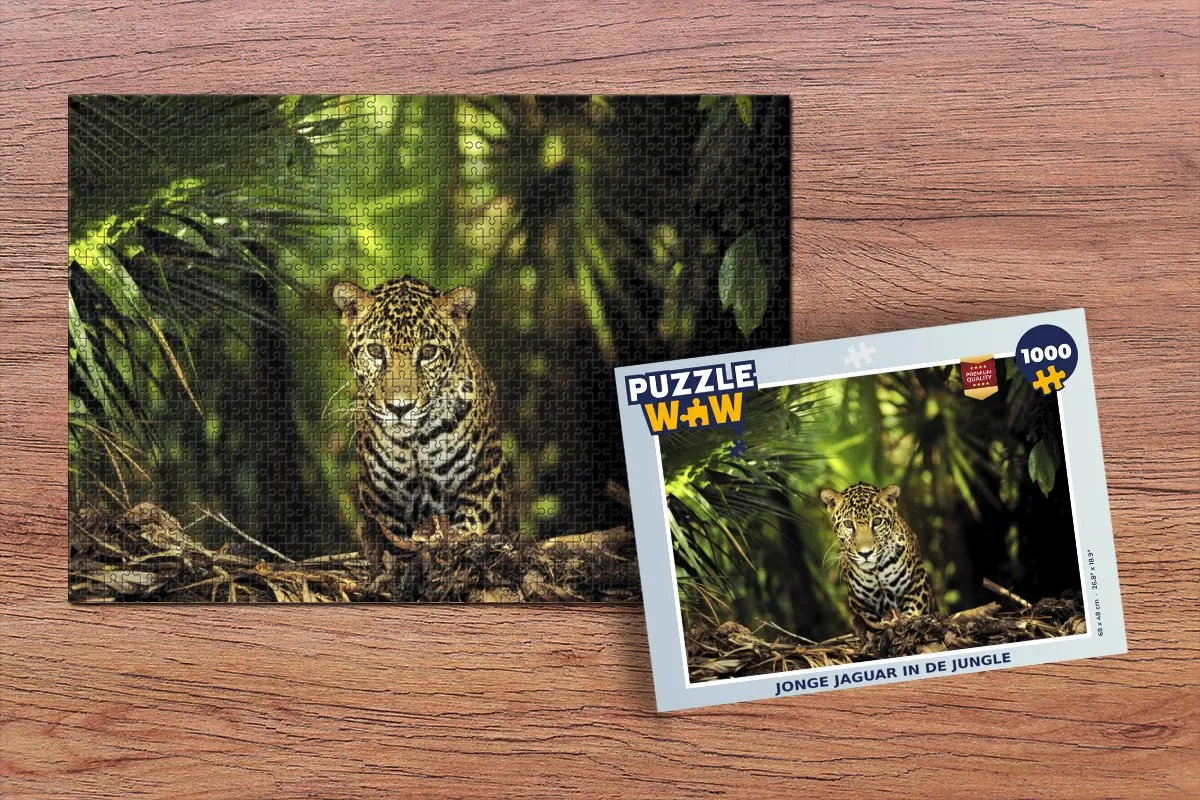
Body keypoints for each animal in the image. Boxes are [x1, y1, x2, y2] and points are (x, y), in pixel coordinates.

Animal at [333, 276, 507, 572]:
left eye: (428, 352)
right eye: (375, 350)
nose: (400, 407)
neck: (415, 442)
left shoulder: (483, 483)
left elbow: (468, 529)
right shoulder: (382, 502)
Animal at [818, 482, 936, 641]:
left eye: (877, 521)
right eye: (848, 524)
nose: (865, 553)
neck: (876, 572)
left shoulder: (917, 587)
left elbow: (911, 615)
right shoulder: (861, 605)